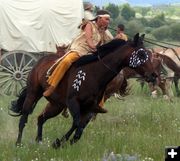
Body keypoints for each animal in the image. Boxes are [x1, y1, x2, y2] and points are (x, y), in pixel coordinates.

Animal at [9, 33, 157, 148]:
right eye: (141, 53)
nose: (154, 75)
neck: (94, 73)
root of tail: (40, 61)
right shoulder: (73, 102)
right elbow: (76, 123)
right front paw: (58, 143)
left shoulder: (89, 109)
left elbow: (80, 129)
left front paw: (65, 143)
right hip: (33, 93)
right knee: (24, 117)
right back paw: (18, 143)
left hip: (56, 105)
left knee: (41, 118)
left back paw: (39, 141)